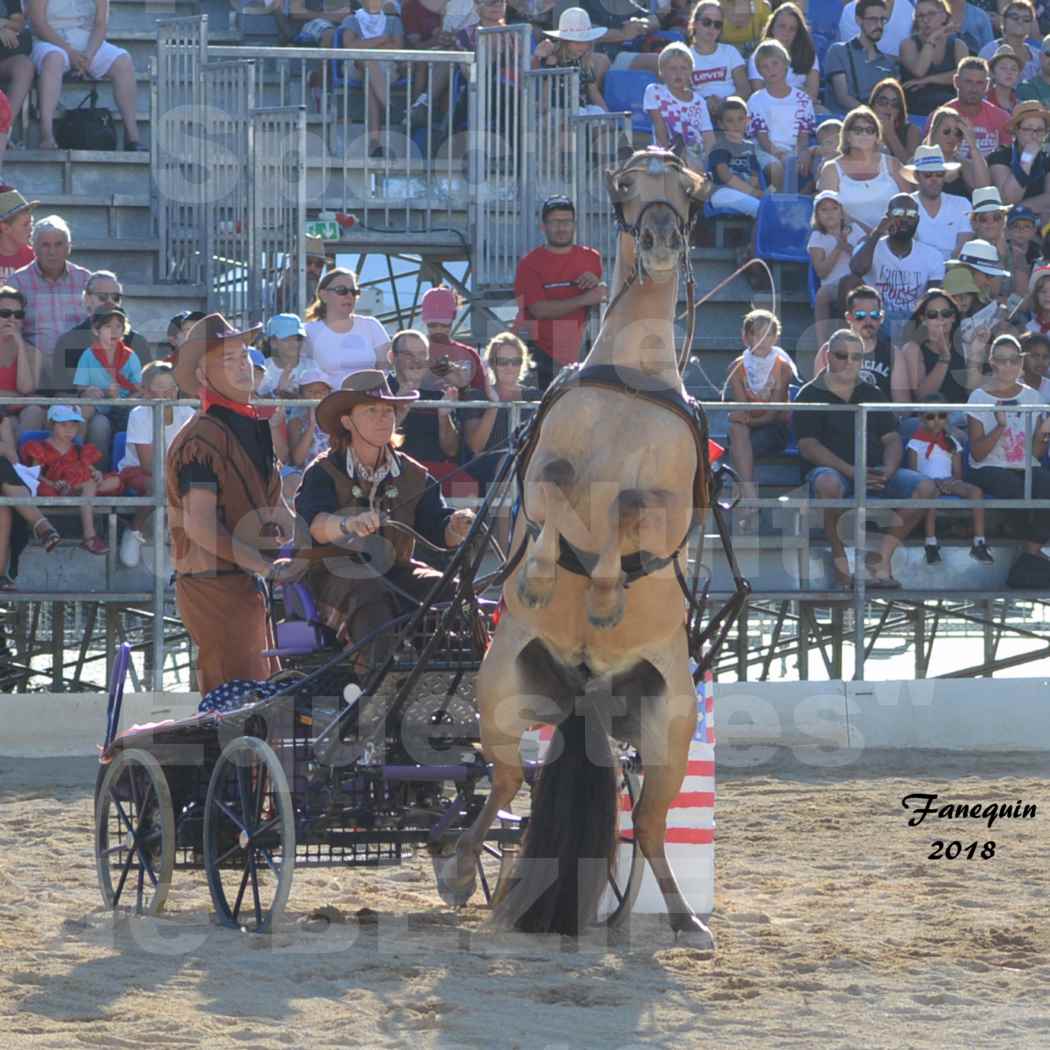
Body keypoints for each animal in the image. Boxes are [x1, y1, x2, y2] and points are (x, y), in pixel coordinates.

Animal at [434, 145, 739, 944]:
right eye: (629, 185)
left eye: (687, 190)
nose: (659, 239)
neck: (631, 382)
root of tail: (586, 692)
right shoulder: (545, 464)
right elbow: (556, 492)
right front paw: (542, 577)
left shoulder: (669, 510)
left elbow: (629, 509)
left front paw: (603, 594)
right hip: (501, 693)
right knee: (505, 784)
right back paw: (458, 872)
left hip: (669, 733)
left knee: (655, 830)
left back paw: (682, 920)